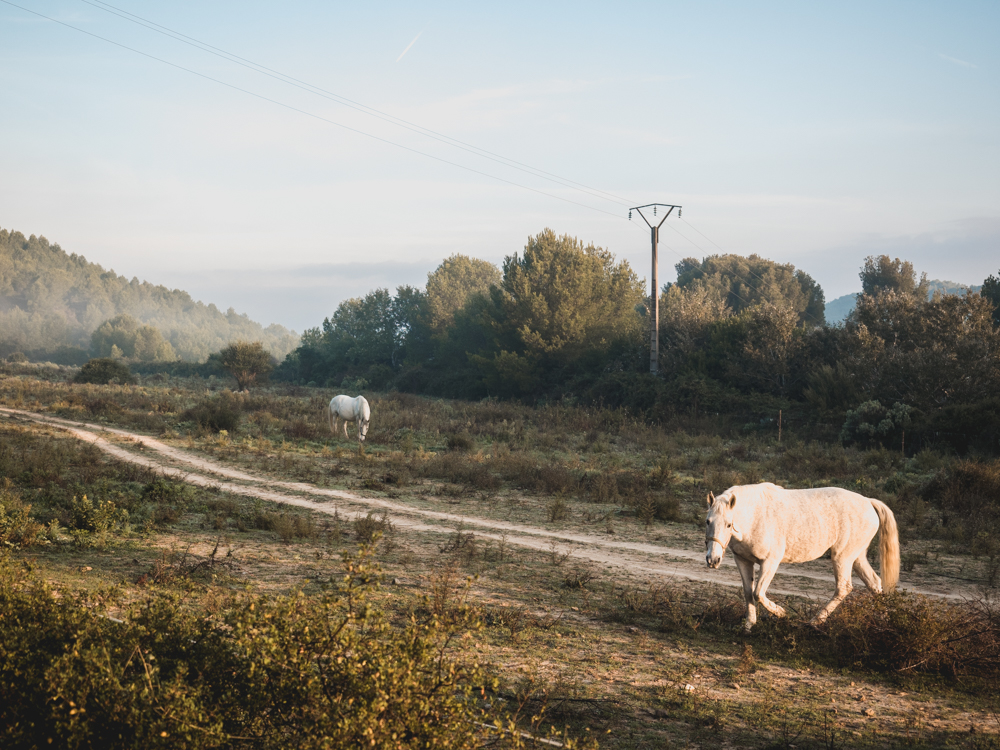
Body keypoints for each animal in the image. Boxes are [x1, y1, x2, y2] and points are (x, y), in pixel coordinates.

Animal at [708, 484, 904, 632]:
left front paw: (781, 613)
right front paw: (749, 625)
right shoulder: (743, 560)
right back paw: (884, 621)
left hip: (842, 557)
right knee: (875, 584)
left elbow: (758, 593)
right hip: (857, 557)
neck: (755, 516)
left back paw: (813, 622)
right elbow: (749, 592)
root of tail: (869, 502)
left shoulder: (770, 562)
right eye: (707, 521)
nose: (713, 560)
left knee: (844, 588)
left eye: (729, 524)